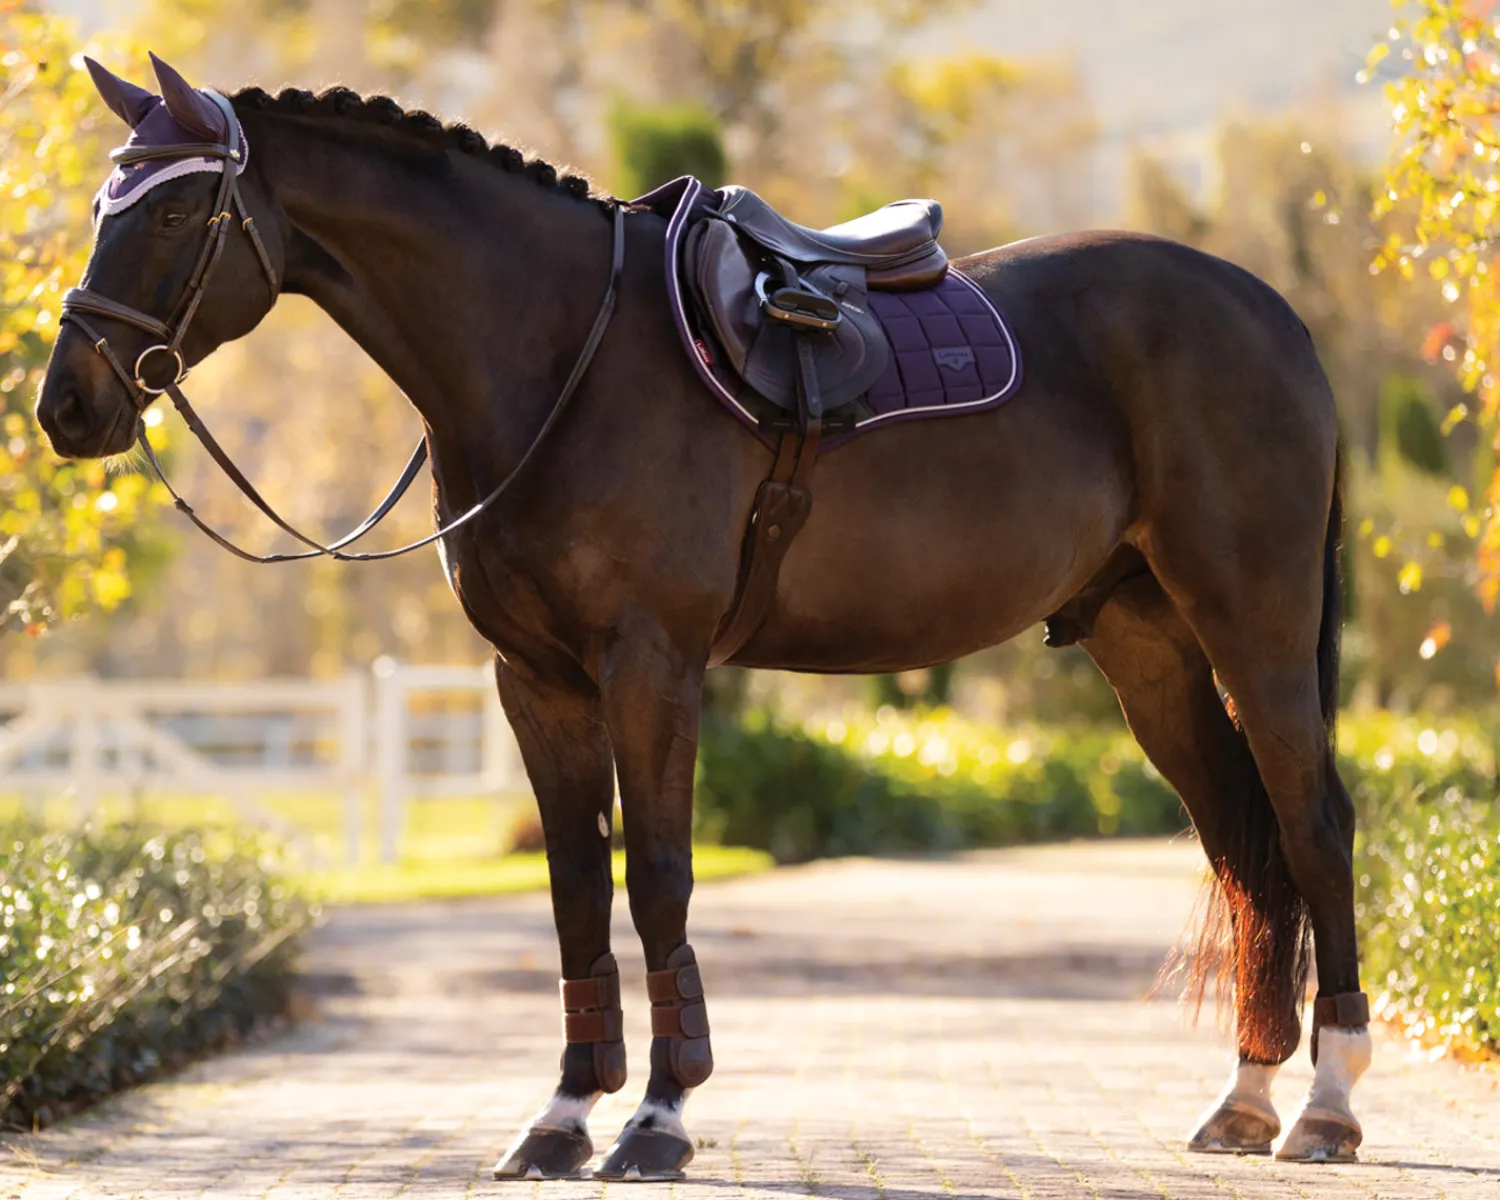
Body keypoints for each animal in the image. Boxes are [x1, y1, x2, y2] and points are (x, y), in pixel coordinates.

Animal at [37, 54, 1372, 1178]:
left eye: (169, 215)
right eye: (107, 205)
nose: (67, 407)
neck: (560, 358)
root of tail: (1275, 318)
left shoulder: (652, 665)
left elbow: (660, 883)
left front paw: (659, 1119)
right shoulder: (538, 682)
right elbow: (577, 893)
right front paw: (562, 1116)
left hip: (1252, 623)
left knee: (1310, 827)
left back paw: (1326, 1105)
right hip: (1144, 644)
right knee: (1240, 845)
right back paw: (1244, 1099)